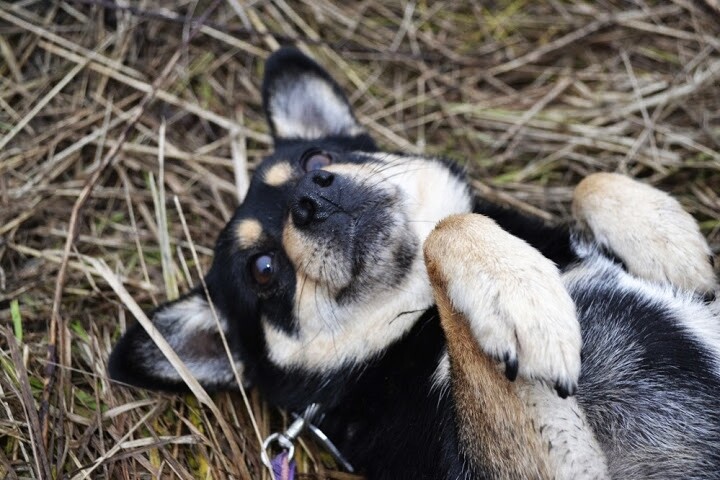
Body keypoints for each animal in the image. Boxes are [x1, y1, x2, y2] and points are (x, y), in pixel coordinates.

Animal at [109, 47, 720, 479]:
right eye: (262, 270)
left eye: (316, 157)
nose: (310, 198)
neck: (412, 325)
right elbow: (445, 236)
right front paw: (519, 299)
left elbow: (586, 184)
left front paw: (670, 243)